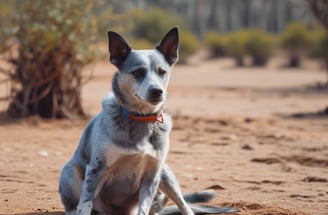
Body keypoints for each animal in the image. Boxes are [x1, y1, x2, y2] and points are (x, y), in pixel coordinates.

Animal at [59, 27, 238, 215]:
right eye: (138, 72)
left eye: (162, 71)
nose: (157, 91)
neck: (140, 117)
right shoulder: (96, 170)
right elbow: (85, 204)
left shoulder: (152, 175)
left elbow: (144, 208)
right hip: (69, 172)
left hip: (165, 174)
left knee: (183, 204)